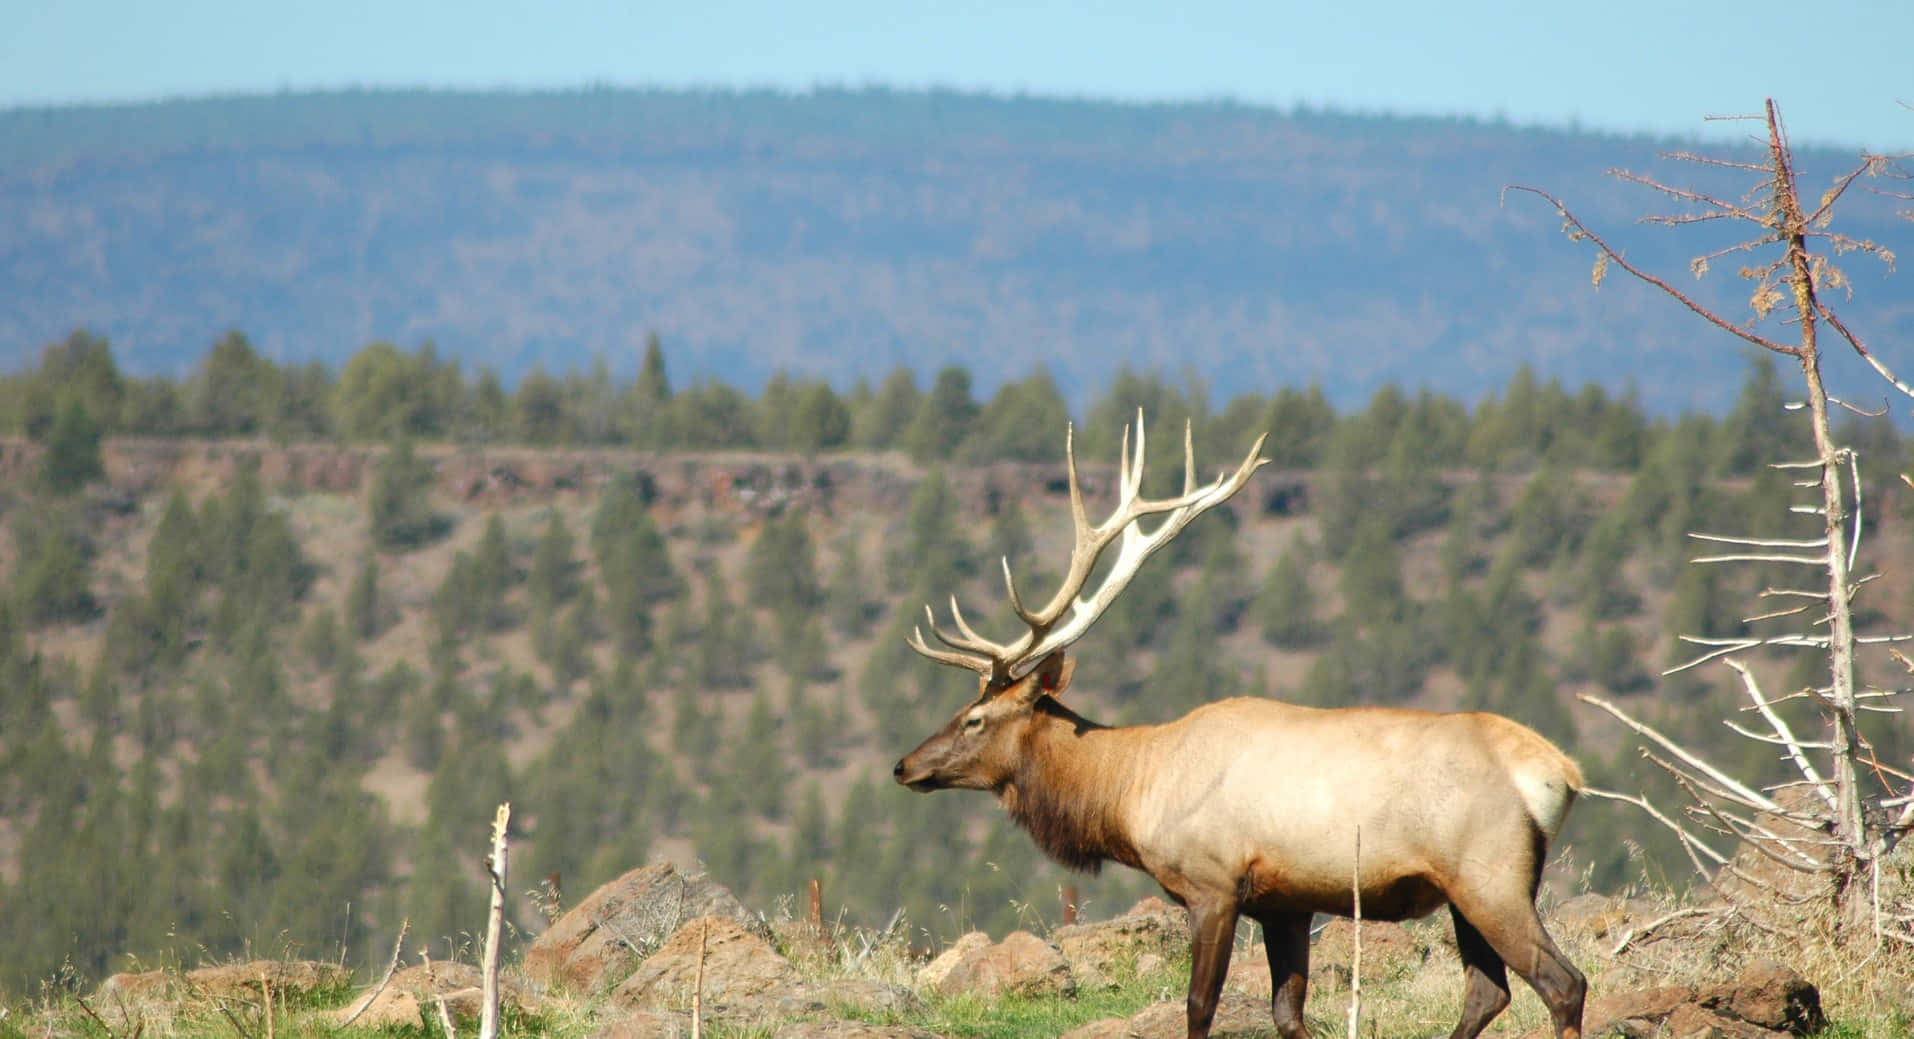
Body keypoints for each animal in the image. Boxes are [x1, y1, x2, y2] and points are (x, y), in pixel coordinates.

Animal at [891, 414, 1586, 1039]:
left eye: (974, 717)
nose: (903, 765)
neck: (1131, 793)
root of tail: (1561, 773)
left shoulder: (1213, 883)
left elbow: (1199, 1007)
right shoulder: (1286, 901)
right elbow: (1288, 1014)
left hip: (1490, 875)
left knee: (1563, 984)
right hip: (1475, 890)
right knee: (1488, 992)